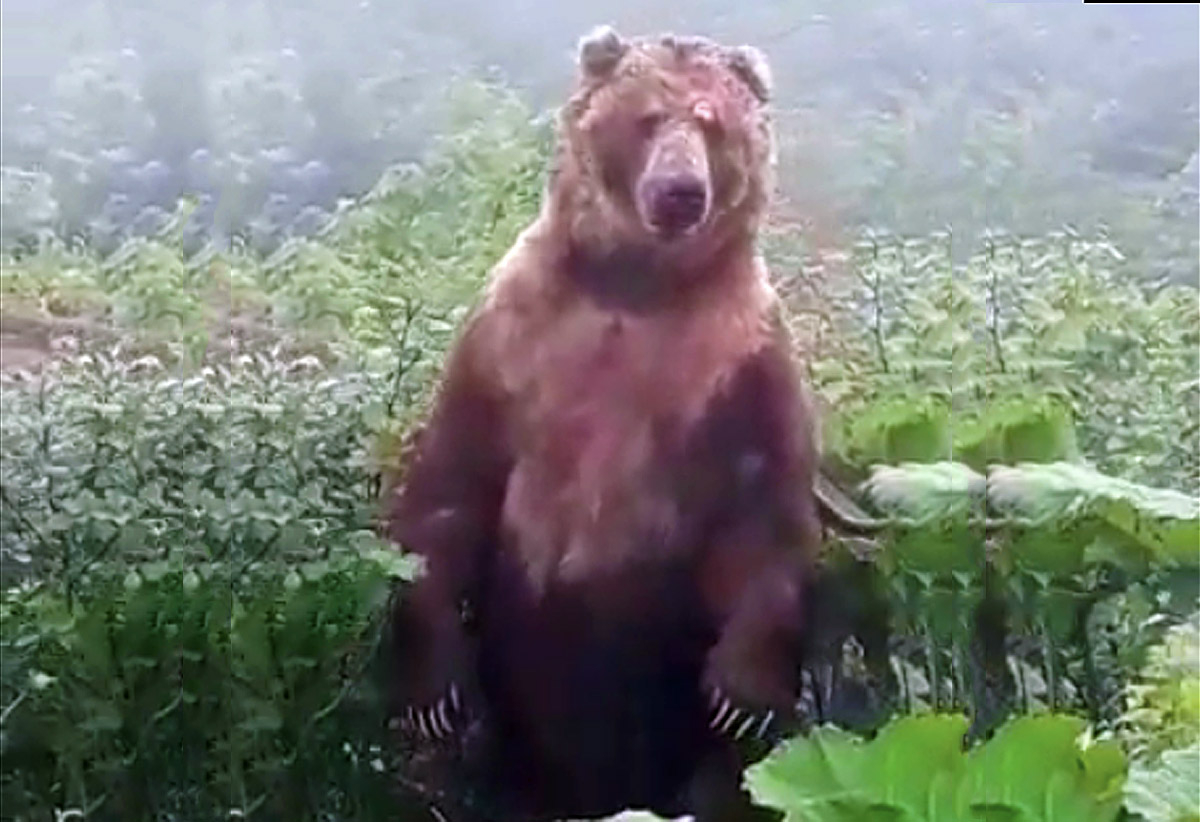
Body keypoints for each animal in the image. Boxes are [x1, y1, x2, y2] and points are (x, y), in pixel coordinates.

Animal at [384, 24, 825, 820]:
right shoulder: (508, 341)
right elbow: (451, 489)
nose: (680, 192)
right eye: (648, 117)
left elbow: (765, 511)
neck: (638, 289)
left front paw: (743, 693)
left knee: (728, 781)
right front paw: (432, 693)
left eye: (714, 123)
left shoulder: (740, 360)